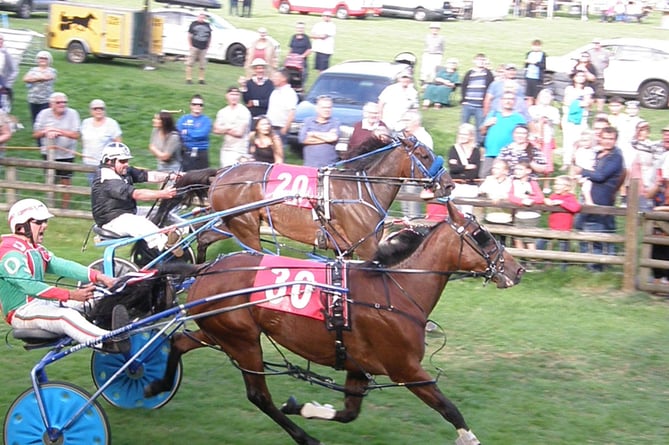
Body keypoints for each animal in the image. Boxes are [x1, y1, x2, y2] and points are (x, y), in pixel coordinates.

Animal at [145, 201, 520, 444]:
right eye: (482, 235)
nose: (517, 269)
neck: (393, 290)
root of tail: (205, 268)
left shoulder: (359, 366)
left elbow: (349, 412)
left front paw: (306, 406)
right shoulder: (406, 369)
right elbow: (449, 408)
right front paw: (468, 437)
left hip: (219, 331)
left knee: (179, 342)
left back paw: (156, 385)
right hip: (243, 341)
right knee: (258, 396)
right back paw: (305, 438)